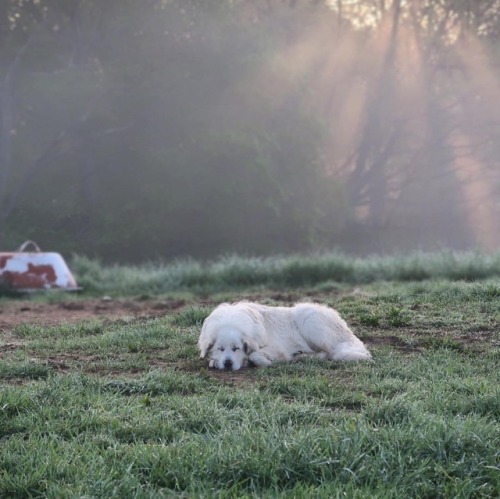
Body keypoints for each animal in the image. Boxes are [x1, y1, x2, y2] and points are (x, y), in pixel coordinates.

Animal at [199, 300, 372, 372]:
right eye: (220, 349)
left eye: (237, 348)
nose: (227, 363)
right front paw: (214, 362)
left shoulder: (276, 347)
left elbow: (255, 354)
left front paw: (264, 361)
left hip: (308, 320)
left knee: (329, 353)